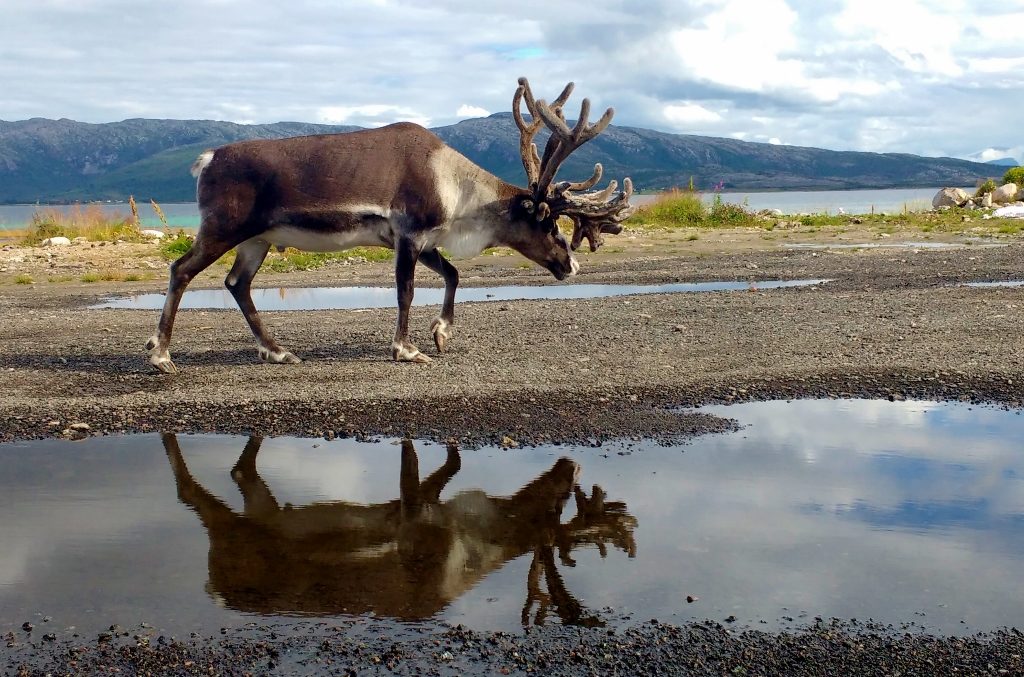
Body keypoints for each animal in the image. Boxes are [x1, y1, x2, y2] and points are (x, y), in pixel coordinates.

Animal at [146, 77, 634, 373]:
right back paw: (161, 354)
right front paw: (407, 349)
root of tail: (207, 159)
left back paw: (279, 350)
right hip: (222, 227)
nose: (571, 266)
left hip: (257, 240)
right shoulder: (409, 233)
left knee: (237, 283)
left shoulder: (421, 239)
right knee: (181, 270)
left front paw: (440, 334)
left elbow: (453, 274)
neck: (457, 190)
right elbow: (406, 291)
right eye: (549, 223)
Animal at [162, 434, 637, 625]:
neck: (473, 544)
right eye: (556, 507)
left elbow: (452, 464)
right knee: (193, 493)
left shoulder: (428, 504)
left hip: (262, 513)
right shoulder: (415, 516)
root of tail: (215, 588)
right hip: (234, 533)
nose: (571, 465)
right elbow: (416, 465)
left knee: (241, 472)